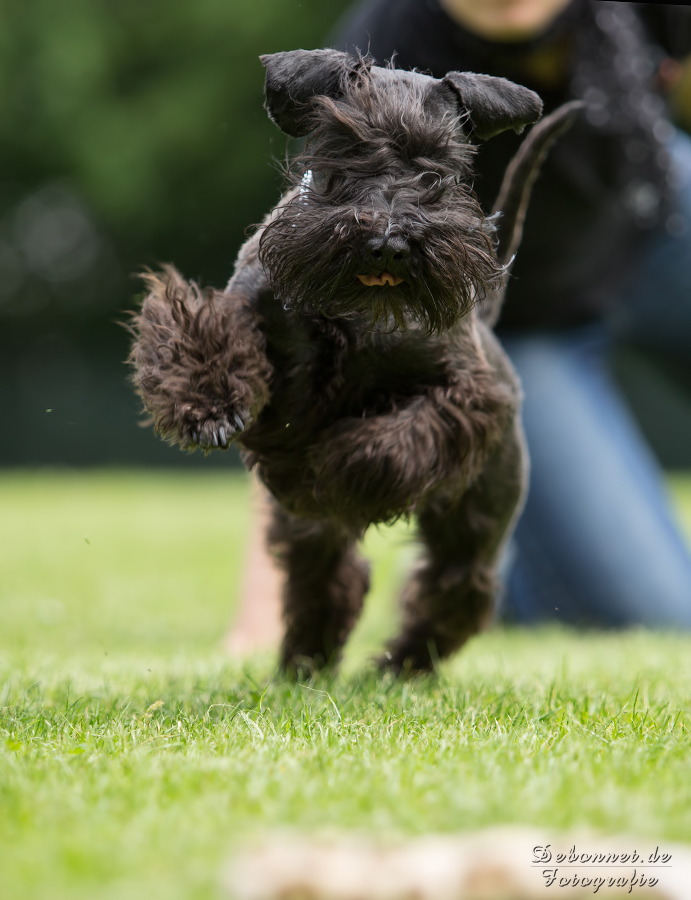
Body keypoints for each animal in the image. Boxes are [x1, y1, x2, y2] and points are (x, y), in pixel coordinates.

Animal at [130, 47, 580, 668]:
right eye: (346, 147)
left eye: (438, 168)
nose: (389, 241)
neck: (357, 309)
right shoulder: (247, 308)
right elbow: (205, 336)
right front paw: (209, 405)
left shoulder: (468, 394)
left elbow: (399, 438)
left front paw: (338, 463)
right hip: (308, 535)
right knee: (327, 579)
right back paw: (305, 662)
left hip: (477, 517)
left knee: (455, 588)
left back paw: (403, 665)